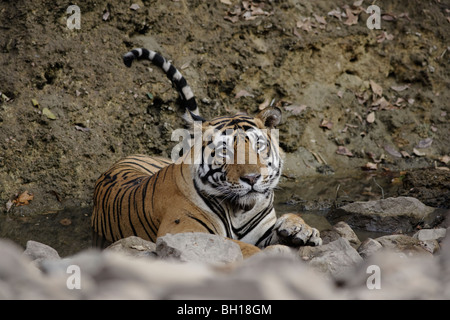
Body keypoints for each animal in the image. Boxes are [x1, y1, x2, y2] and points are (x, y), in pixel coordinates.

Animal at [91, 48, 322, 258]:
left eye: (258, 145)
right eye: (224, 150)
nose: (252, 178)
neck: (240, 211)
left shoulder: (263, 230)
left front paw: (302, 230)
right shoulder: (183, 230)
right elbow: (238, 245)